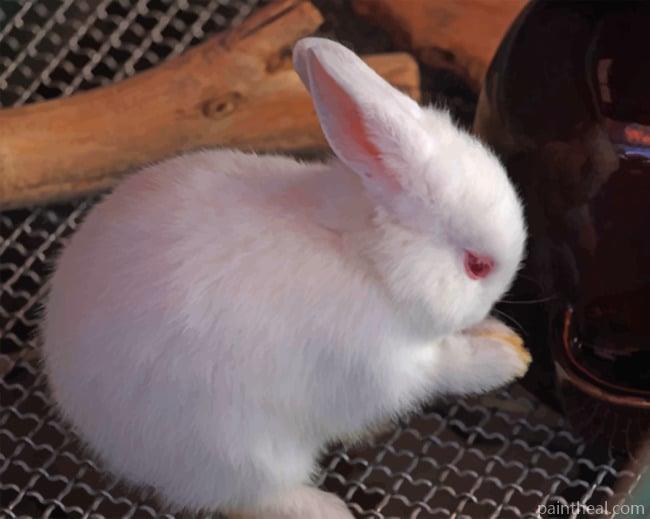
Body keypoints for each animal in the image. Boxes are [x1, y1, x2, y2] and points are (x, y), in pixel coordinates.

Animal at [42, 37, 530, 519]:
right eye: (477, 265)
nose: (498, 298)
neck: (370, 261)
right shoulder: (385, 368)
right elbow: (445, 367)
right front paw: (505, 359)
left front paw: (504, 339)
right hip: (244, 453)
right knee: (253, 497)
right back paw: (326, 509)